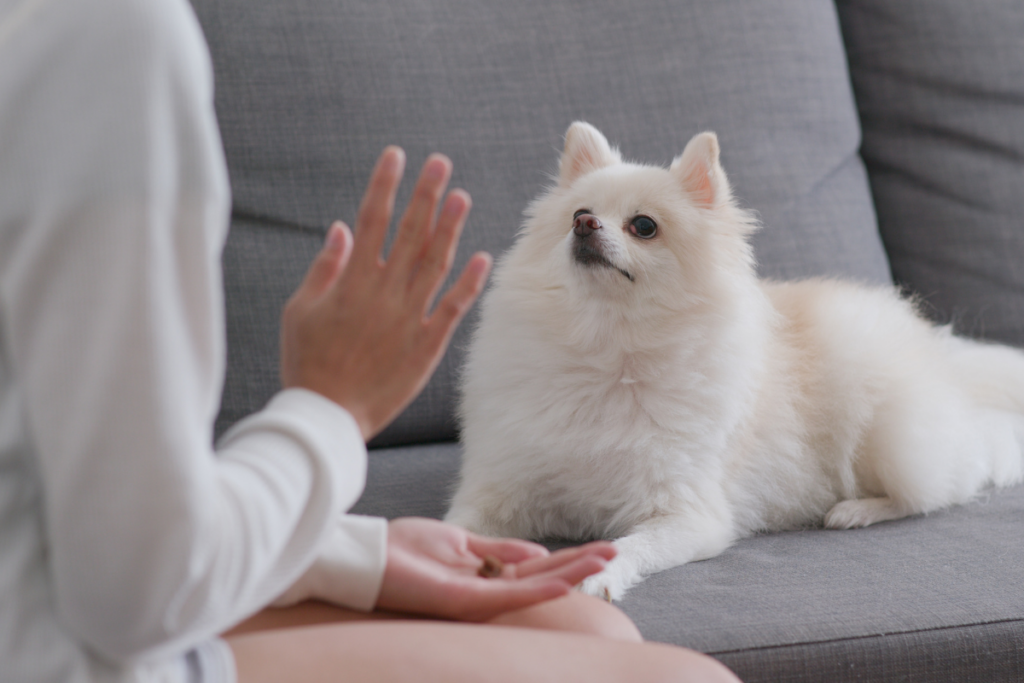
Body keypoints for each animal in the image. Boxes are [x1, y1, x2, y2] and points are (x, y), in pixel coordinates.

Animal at [446, 121, 1024, 598]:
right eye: (576, 216)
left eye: (643, 226)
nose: (585, 226)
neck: (608, 349)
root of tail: (943, 354)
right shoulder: (503, 490)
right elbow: (453, 526)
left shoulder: (688, 515)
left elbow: (626, 546)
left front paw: (597, 577)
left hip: (890, 435)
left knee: (938, 490)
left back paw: (855, 510)